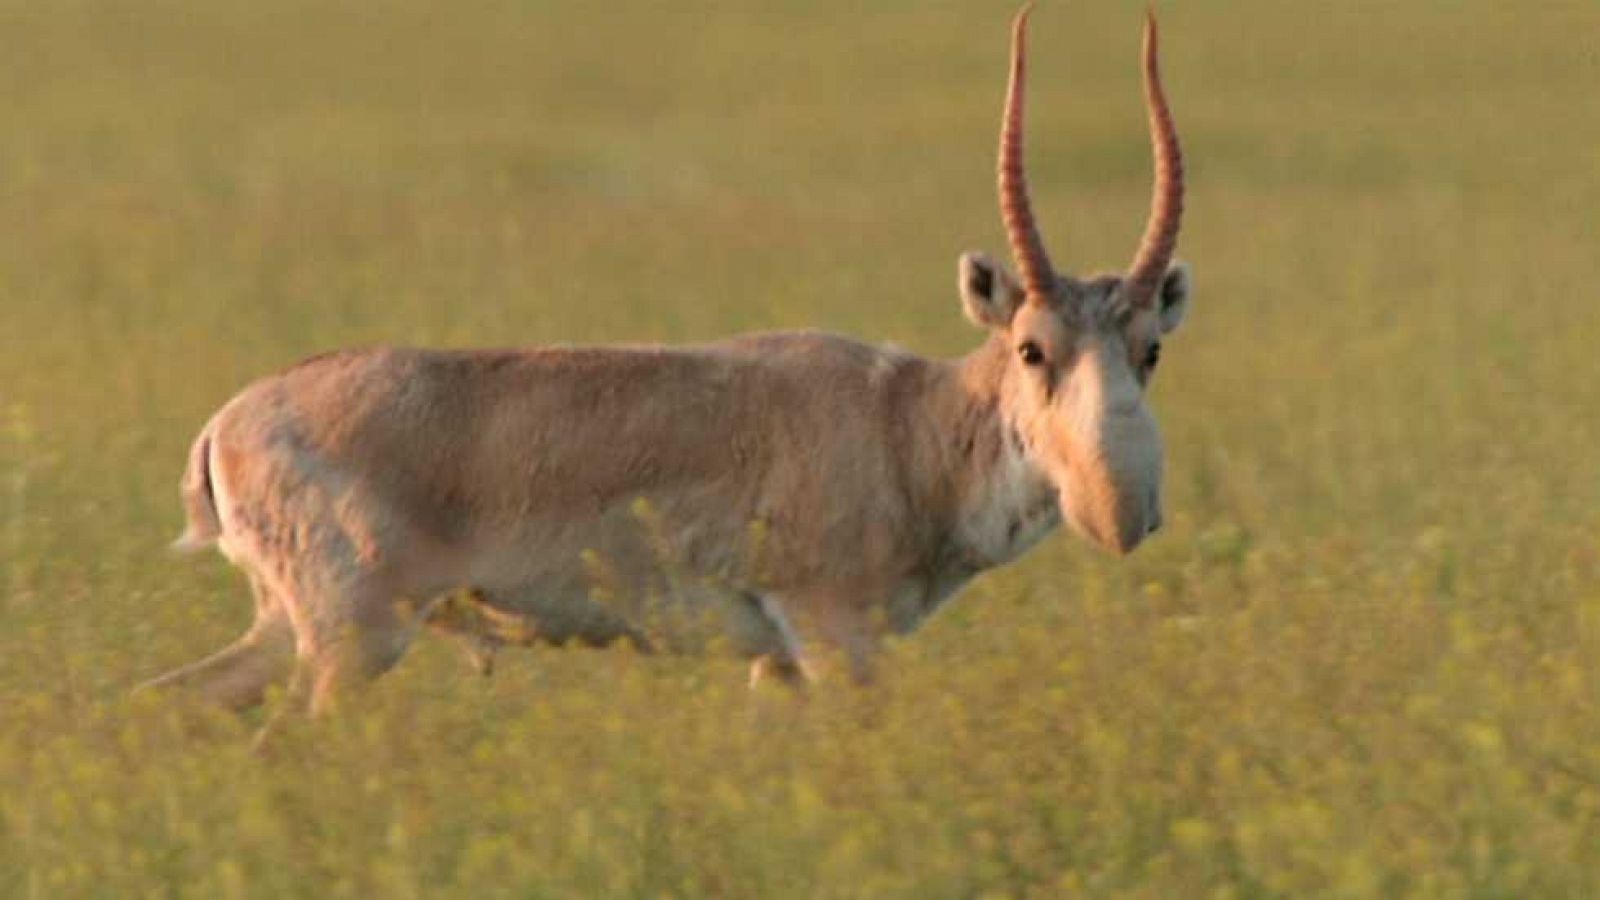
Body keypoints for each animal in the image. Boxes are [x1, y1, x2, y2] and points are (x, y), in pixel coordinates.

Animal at [140, 8, 1190, 714]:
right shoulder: (834, 635)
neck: (908, 423)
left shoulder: (779, 661)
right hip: (350, 640)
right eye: (1031, 346)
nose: (1121, 513)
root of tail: (227, 425)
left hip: (286, 629)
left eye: (1150, 349)